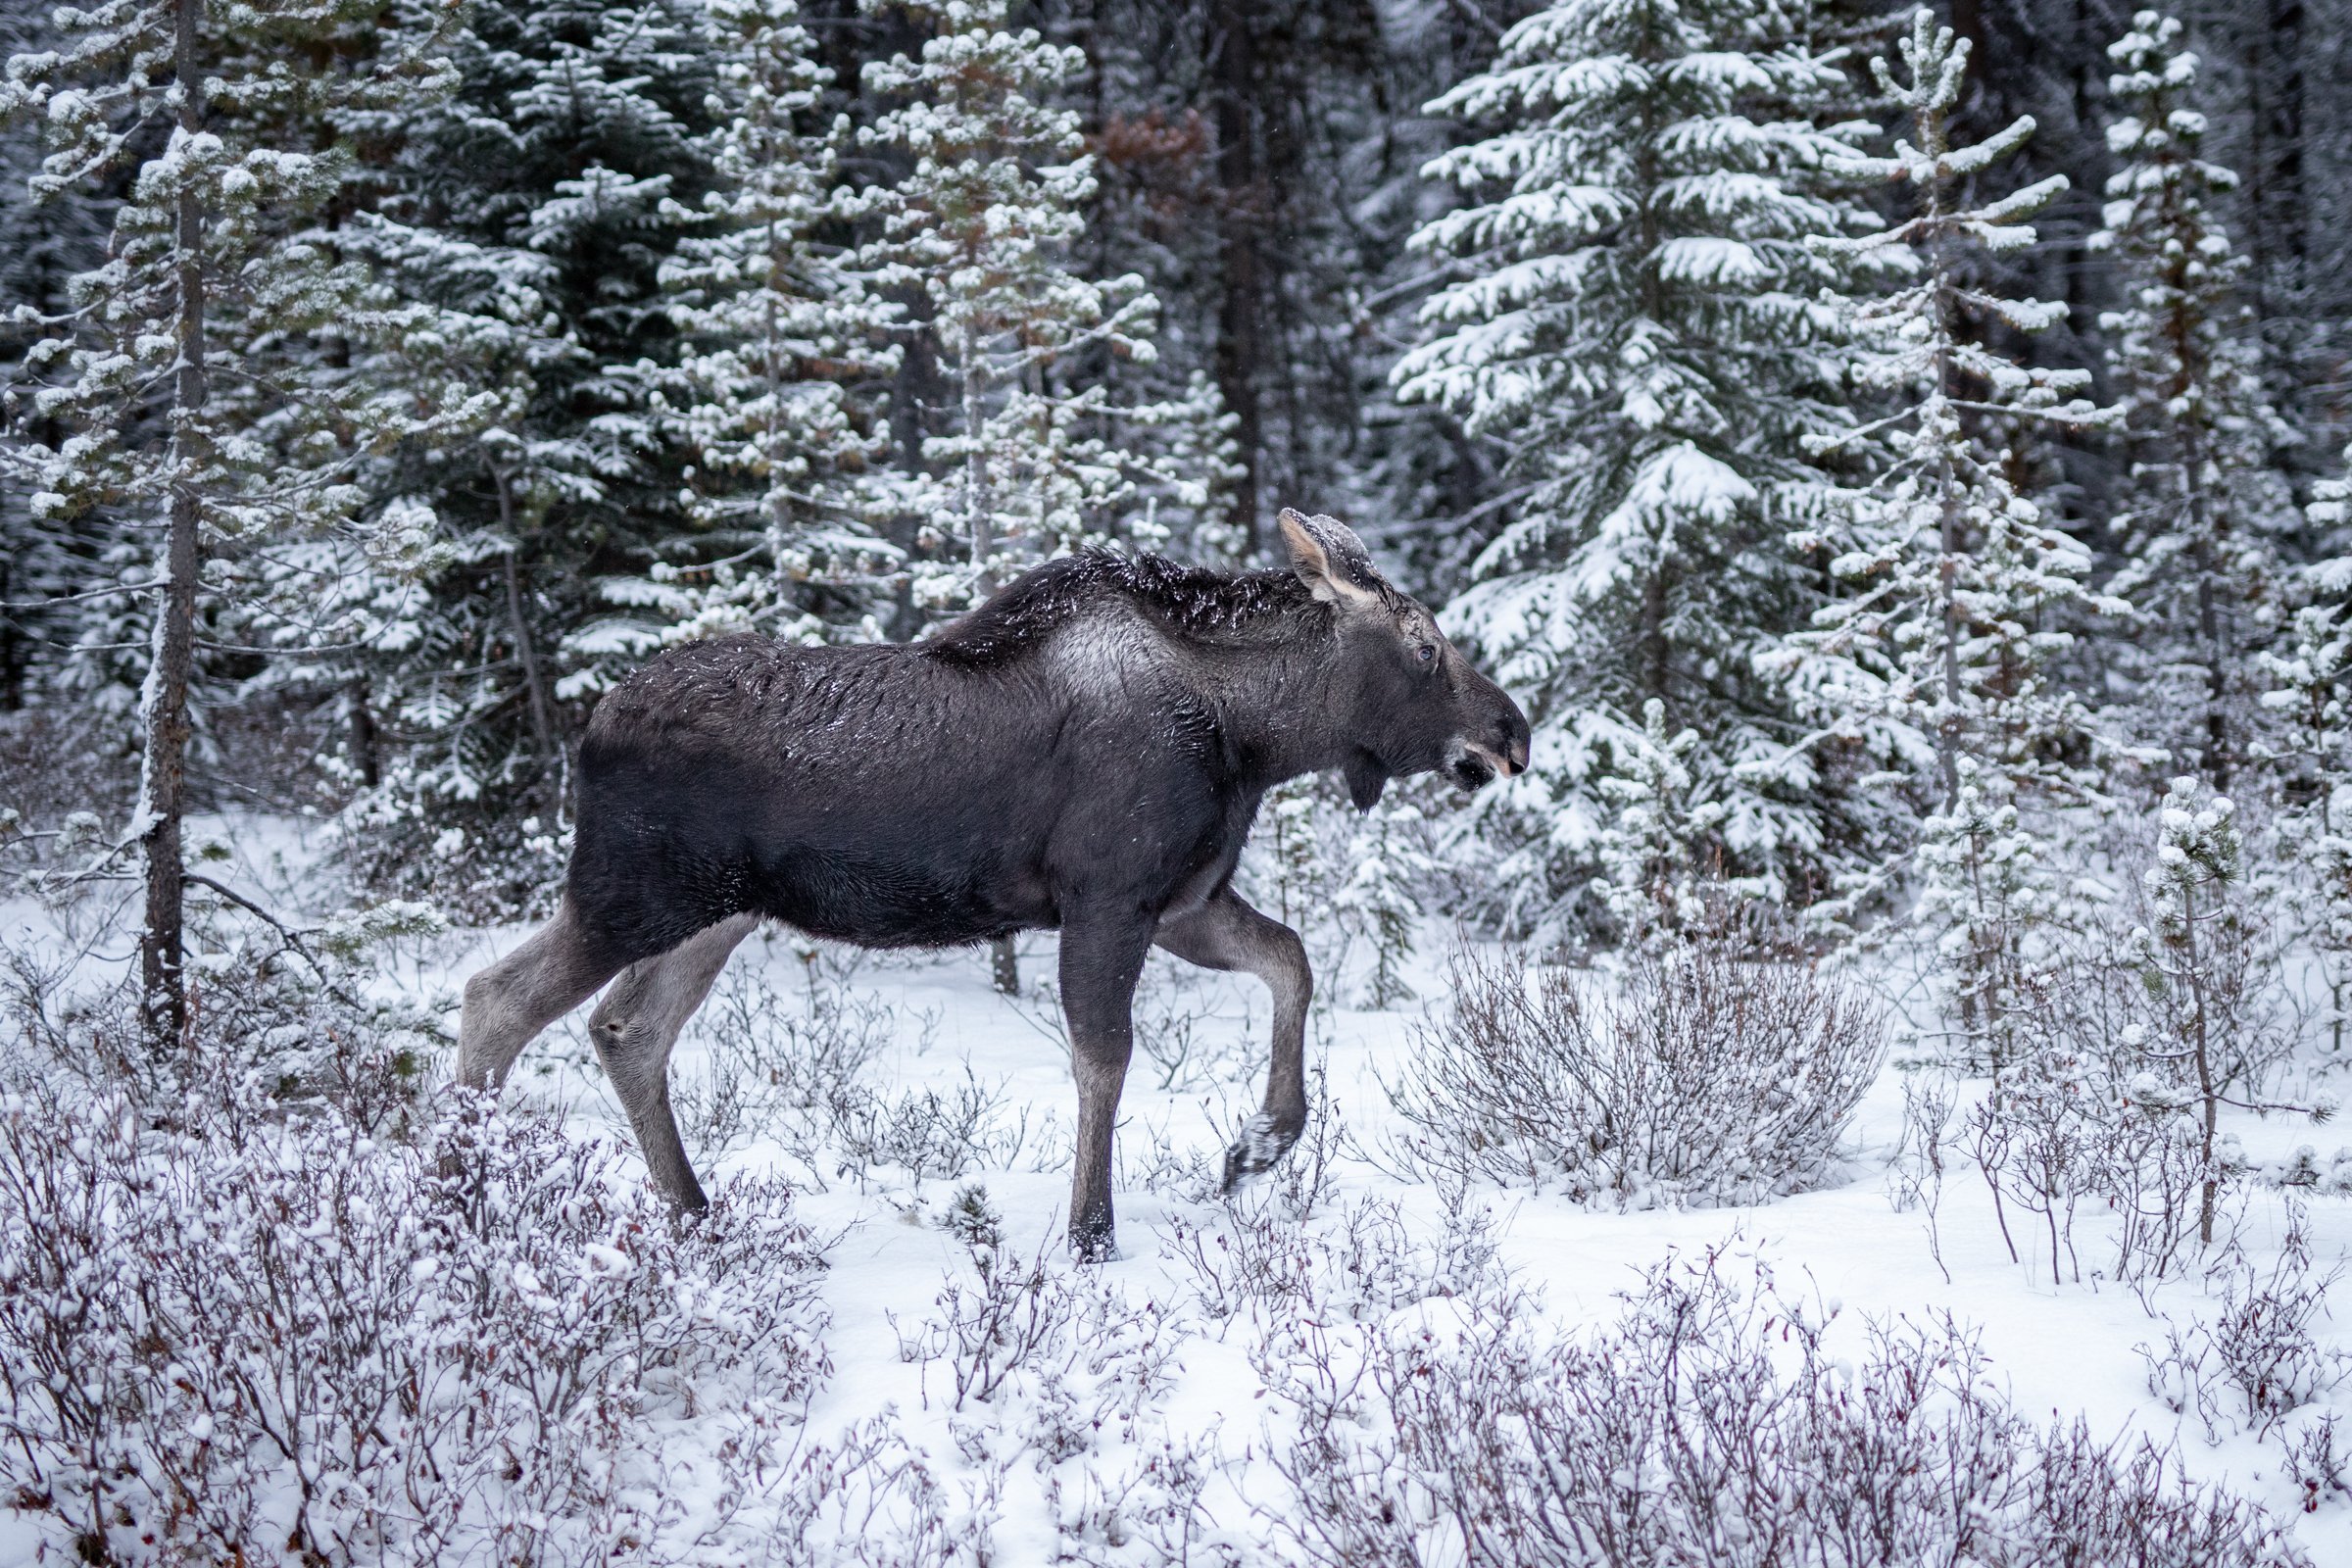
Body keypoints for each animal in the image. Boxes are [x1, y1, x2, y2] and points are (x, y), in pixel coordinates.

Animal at [456, 510, 1524, 1259]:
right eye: (1424, 645)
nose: (1512, 730)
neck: (1256, 740)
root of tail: (590, 729)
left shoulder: (1182, 903)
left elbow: (1291, 963)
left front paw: (1256, 1143)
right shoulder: (1108, 899)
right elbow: (1104, 1059)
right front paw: (1091, 1233)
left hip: (713, 913)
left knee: (626, 1029)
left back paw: (691, 1213)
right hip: (630, 894)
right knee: (496, 998)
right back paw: (463, 1198)